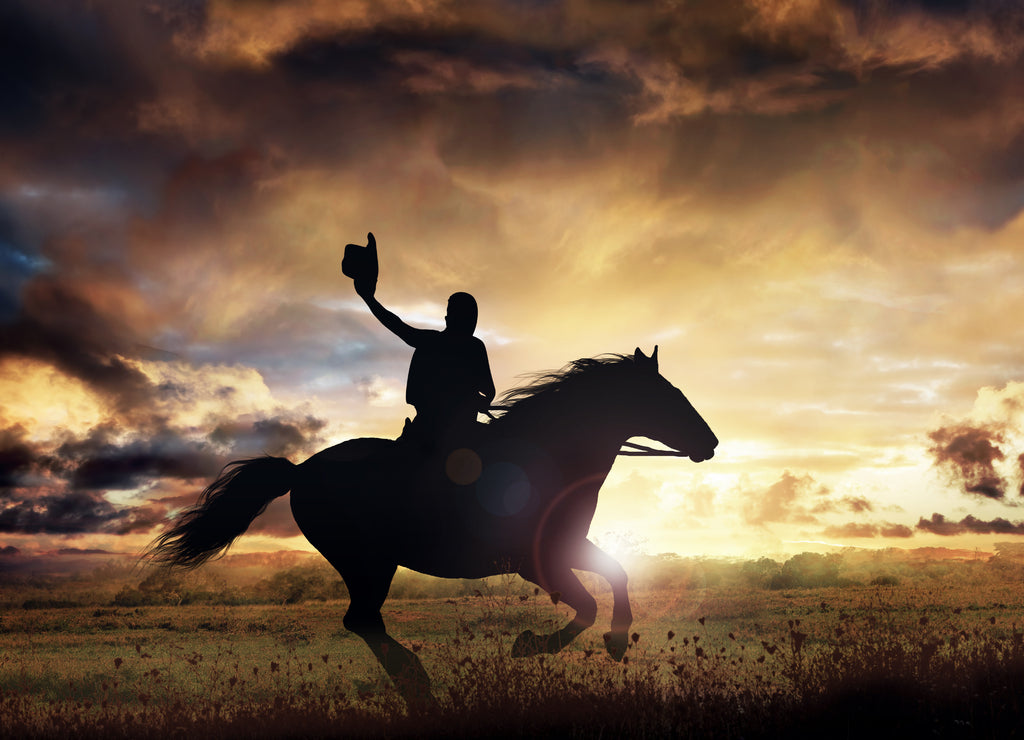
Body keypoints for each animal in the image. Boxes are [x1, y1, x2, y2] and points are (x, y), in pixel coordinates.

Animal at [148, 347, 716, 708]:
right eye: (666, 395)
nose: (710, 443)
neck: (548, 453)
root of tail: (302, 469)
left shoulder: (564, 547)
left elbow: (618, 575)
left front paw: (618, 642)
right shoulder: (533, 562)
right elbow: (587, 605)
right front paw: (529, 646)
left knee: (365, 623)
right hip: (368, 562)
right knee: (362, 621)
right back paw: (418, 687)